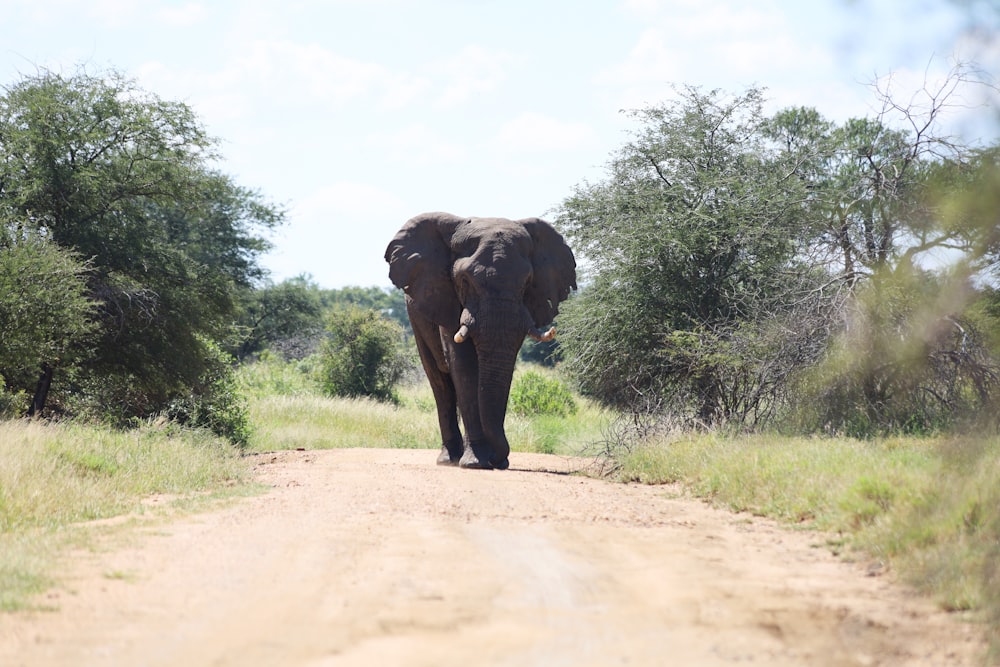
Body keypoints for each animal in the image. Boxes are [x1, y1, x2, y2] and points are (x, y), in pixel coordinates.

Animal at [384, 213, 576, 470]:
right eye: (465, 280)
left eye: (527, 282)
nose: (499, 460)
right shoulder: (445, 299)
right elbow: (464, 367)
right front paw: (476, 462)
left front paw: (491, 460)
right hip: (415, 315)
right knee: (440, 382)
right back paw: (449, 459)